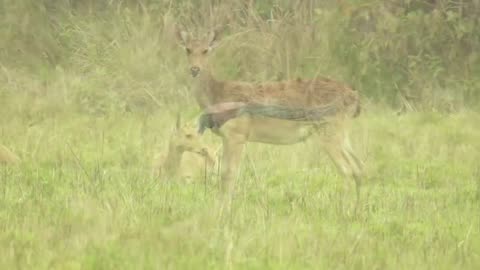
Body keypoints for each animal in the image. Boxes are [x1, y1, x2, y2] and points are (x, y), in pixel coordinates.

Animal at [176, 26, 364, 209]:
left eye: (206, 50)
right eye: (188, 49)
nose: (194, 69)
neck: (218, 95)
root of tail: (353, 96)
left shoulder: (237, 135)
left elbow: (229, 173)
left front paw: (223, 210)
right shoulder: (227, 137)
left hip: (329, 131)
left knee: (347, 169)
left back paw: (344, 209)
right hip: (341, 134)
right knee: (358, 167)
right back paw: (357, 208)